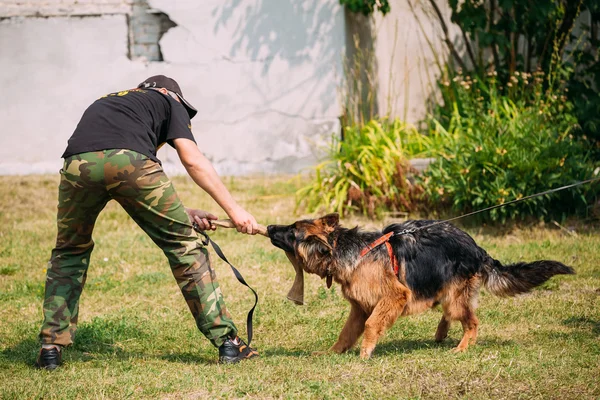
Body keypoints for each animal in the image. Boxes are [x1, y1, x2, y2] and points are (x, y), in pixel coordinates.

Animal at [268, 216, 576, 360]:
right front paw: (333, 353)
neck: (345, 250)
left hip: (454, 297)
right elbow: (346, 333)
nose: (270, 227)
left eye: (292, 231)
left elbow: (371, 325)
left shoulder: (394, 296)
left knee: (472, 322)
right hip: (447, 292)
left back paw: (462, 347)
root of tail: (478, 249)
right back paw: (441, 334)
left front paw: (365, 353)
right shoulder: (359, 307)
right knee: (452, 315)